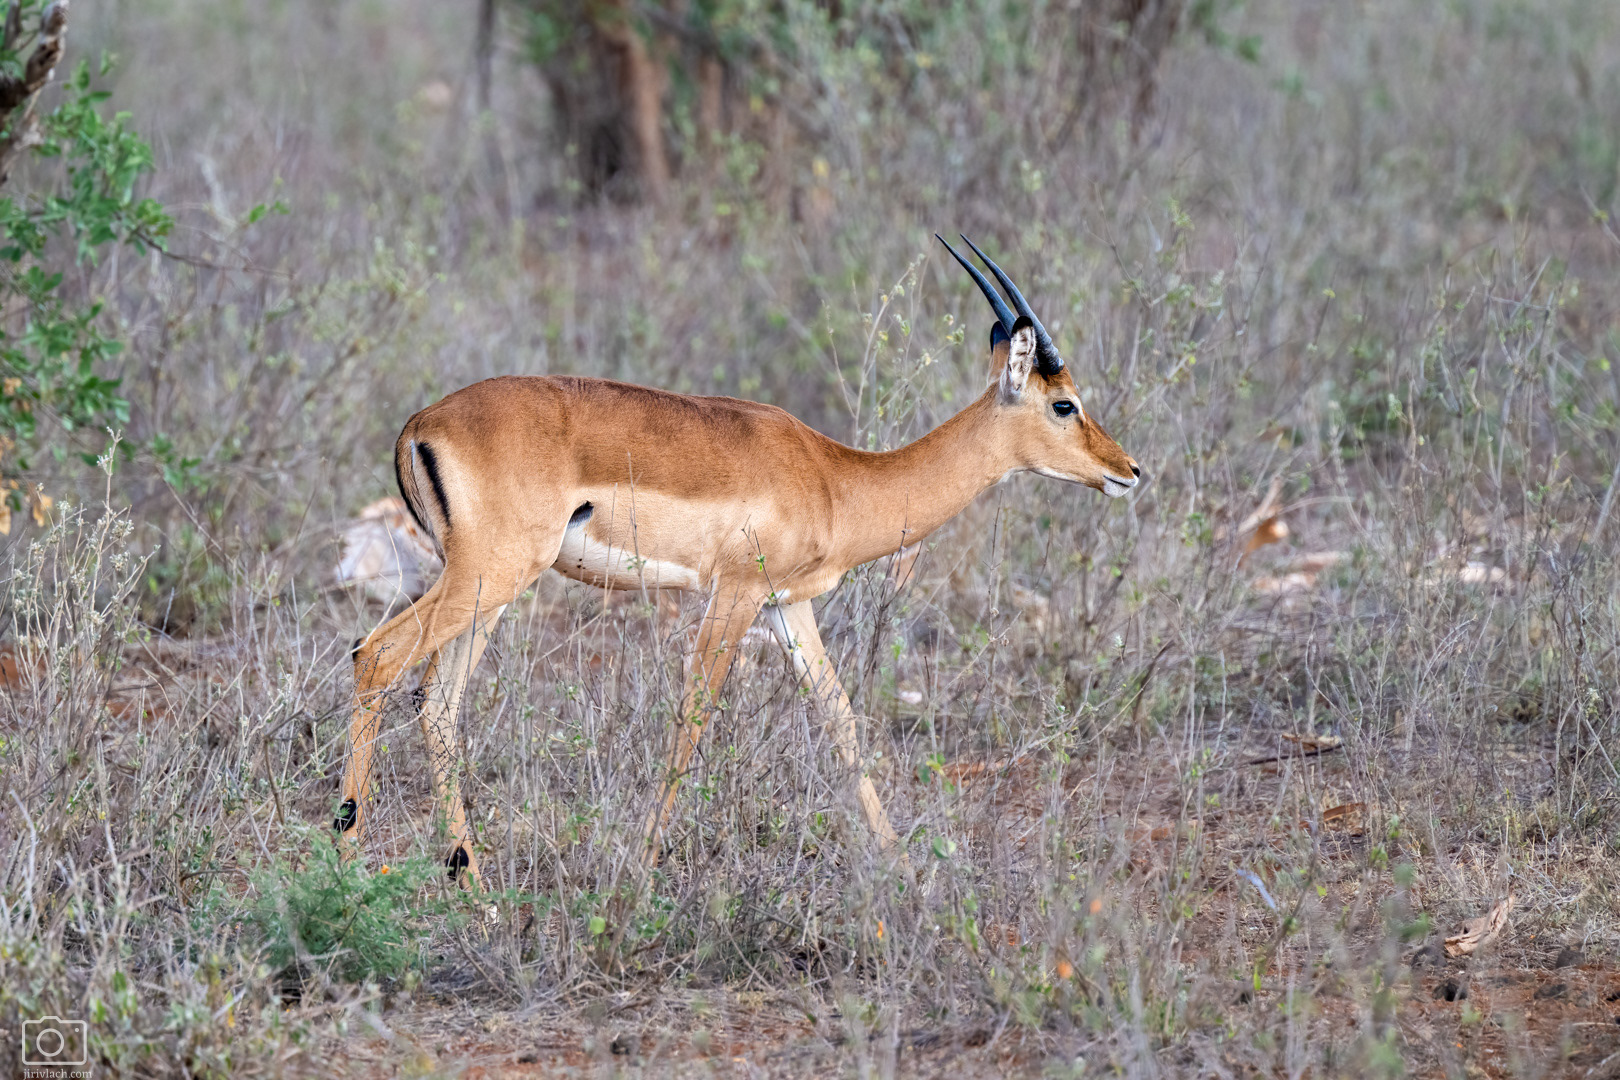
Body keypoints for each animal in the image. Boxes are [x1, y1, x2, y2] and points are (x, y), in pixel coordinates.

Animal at [335, 236, 1141, 888]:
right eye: (1064, 404)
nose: (1129, 470)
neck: (834, 479)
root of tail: (420, 423)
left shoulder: (790, 606)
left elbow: (841, 718)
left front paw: (905, 871)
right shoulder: (734, 594)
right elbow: (693, 716)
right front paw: (642, 868)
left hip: (491, 591)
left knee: (438, 701)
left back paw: (473, 886)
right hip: (488, 576)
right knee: (376, 657)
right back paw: (347, 861)